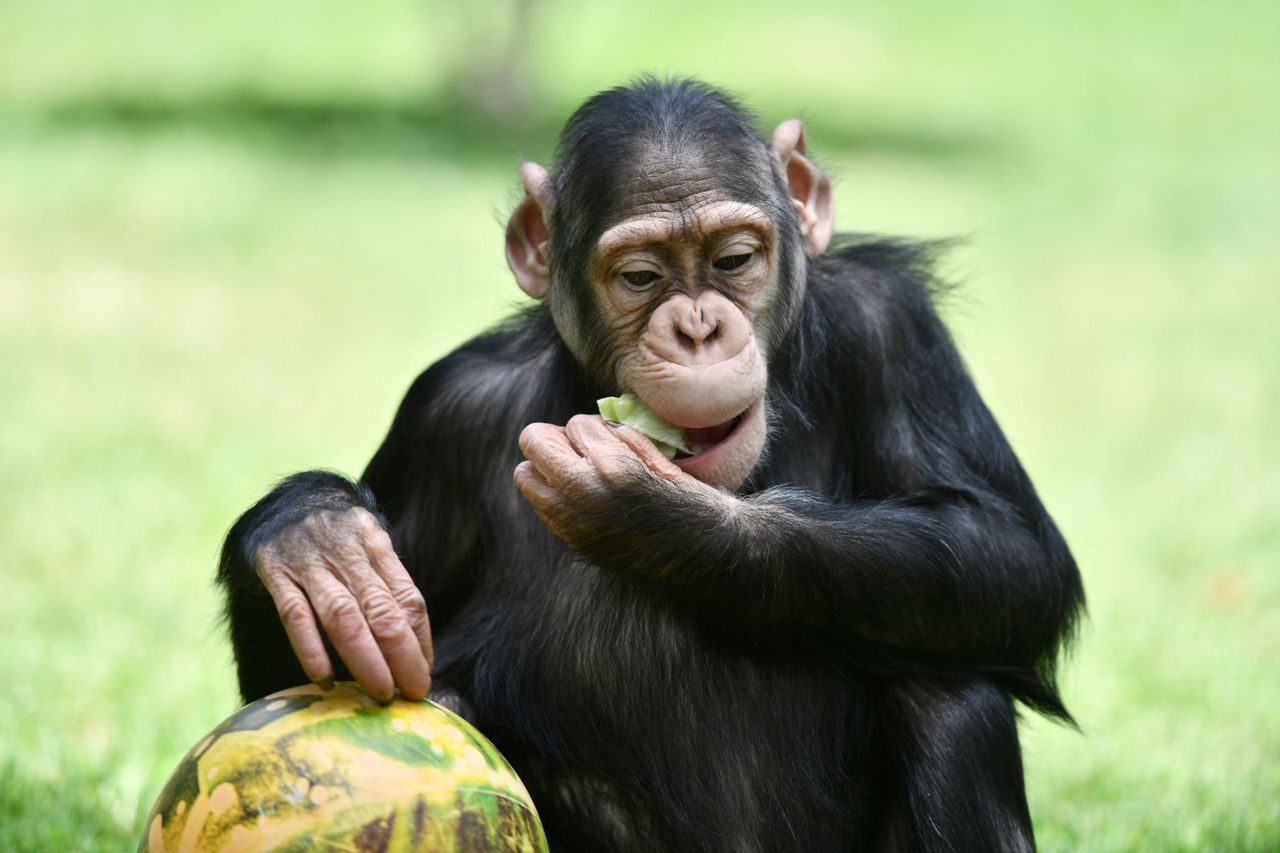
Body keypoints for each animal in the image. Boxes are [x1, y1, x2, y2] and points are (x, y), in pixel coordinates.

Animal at [217, 76, 1080, 845]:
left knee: (951, 688)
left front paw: (654, 514)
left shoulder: (895, 326)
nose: (698, 328)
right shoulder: (443, 414)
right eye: (640, 275)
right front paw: (315, 538)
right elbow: (314, 687)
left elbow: (1011, 553)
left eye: (734, 259)